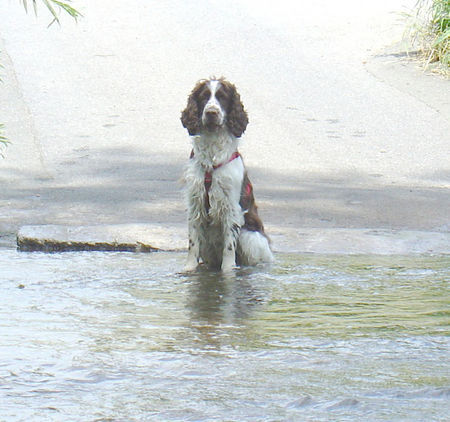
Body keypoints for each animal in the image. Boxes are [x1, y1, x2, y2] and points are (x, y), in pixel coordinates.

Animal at [180, 77, 272, 272]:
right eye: (204, 96)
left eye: (222, 97)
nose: (211, 113)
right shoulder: (195, 203)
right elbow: (192, 244)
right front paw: (189, 269)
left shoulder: (231, 207)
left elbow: (229, 248)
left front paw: (228, 272)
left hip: (250, 236)